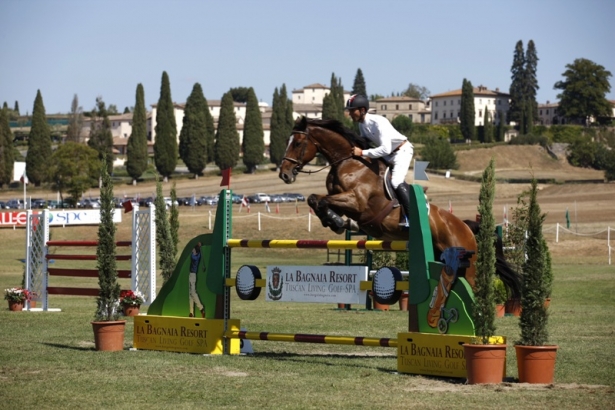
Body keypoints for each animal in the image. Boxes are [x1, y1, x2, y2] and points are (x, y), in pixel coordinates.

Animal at [282, 116, 524, 326]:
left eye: (298, 143)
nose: (284, 174)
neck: (349, 163)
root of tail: (465, 226)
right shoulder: (342, 200)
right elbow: (315, 200)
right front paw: (336, 222)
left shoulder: (356, 202)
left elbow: (320, 199)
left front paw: (337, 222)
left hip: (469, 267)